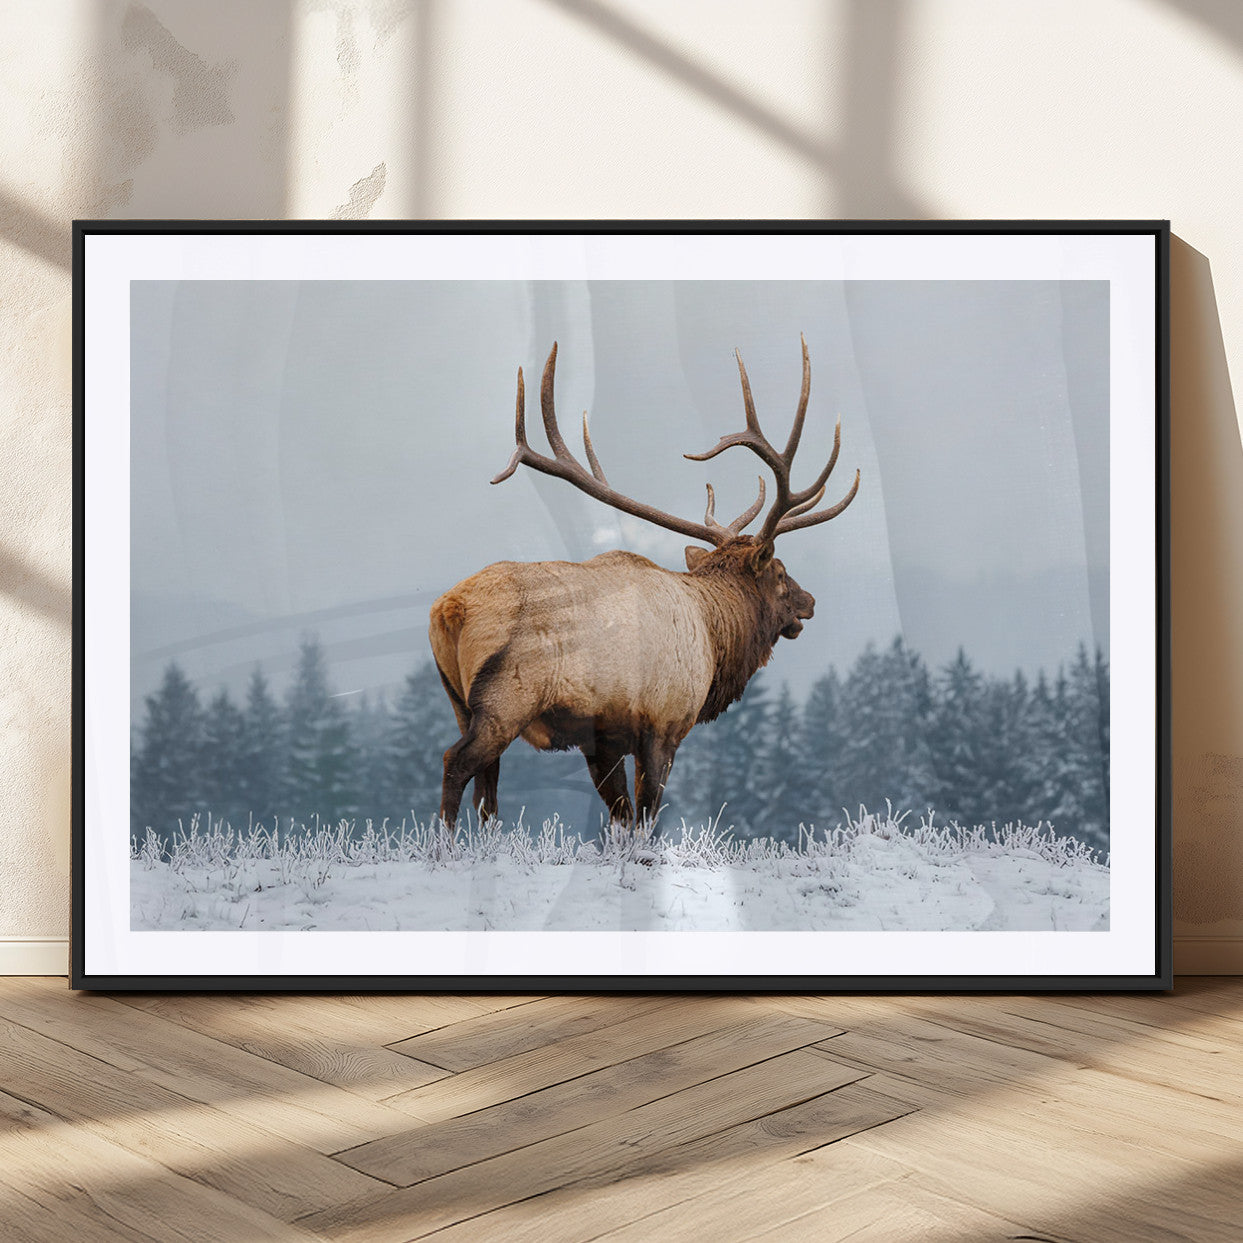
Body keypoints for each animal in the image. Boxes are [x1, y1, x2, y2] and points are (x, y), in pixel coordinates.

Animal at [429, 335, 860, 831]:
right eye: (780, 572)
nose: (810, 601)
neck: (714, 639)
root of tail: (449, 609)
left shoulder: (603, 740)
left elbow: (621, 816)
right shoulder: (664, 723)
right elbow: (647, 816)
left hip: (458, 701)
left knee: (487, 789)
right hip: (506, 699)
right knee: (456, 763)